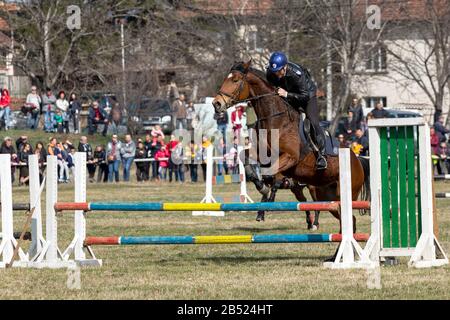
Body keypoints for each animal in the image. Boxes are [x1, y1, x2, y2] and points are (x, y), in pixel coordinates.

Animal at [212, 61, 366, 232]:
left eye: (235, 80)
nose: (216, 103)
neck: (276, 119)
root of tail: (357, 160)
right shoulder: (261, 154)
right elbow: (245, 158)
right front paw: (261, 187)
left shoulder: (290, 157)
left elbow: (270, 175)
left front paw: (266, 192)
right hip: (326, 195)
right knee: (344, 217)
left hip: (343, 193)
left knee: (346, 217)